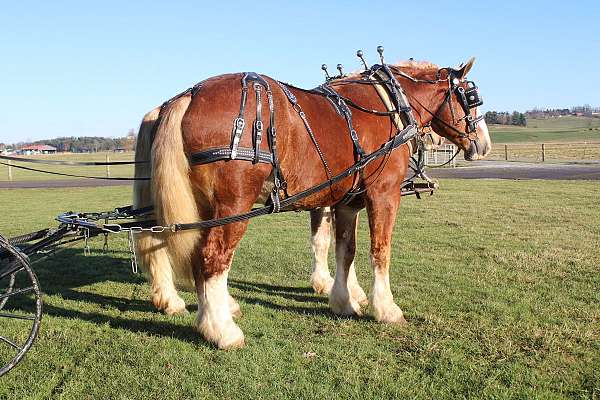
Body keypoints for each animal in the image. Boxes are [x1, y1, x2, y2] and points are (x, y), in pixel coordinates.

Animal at [134, 57, 490, 350]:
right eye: (471, 98)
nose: (484, 145)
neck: (390, 105)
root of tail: (188, 96)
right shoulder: (383, 194)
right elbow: (380, 250)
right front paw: (386, 308)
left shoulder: (347, 202)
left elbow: (344, 250)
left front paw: (345, 300)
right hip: (232, 207)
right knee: (211, 257)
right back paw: (221, 329)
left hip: (200, 207)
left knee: (181, 250)